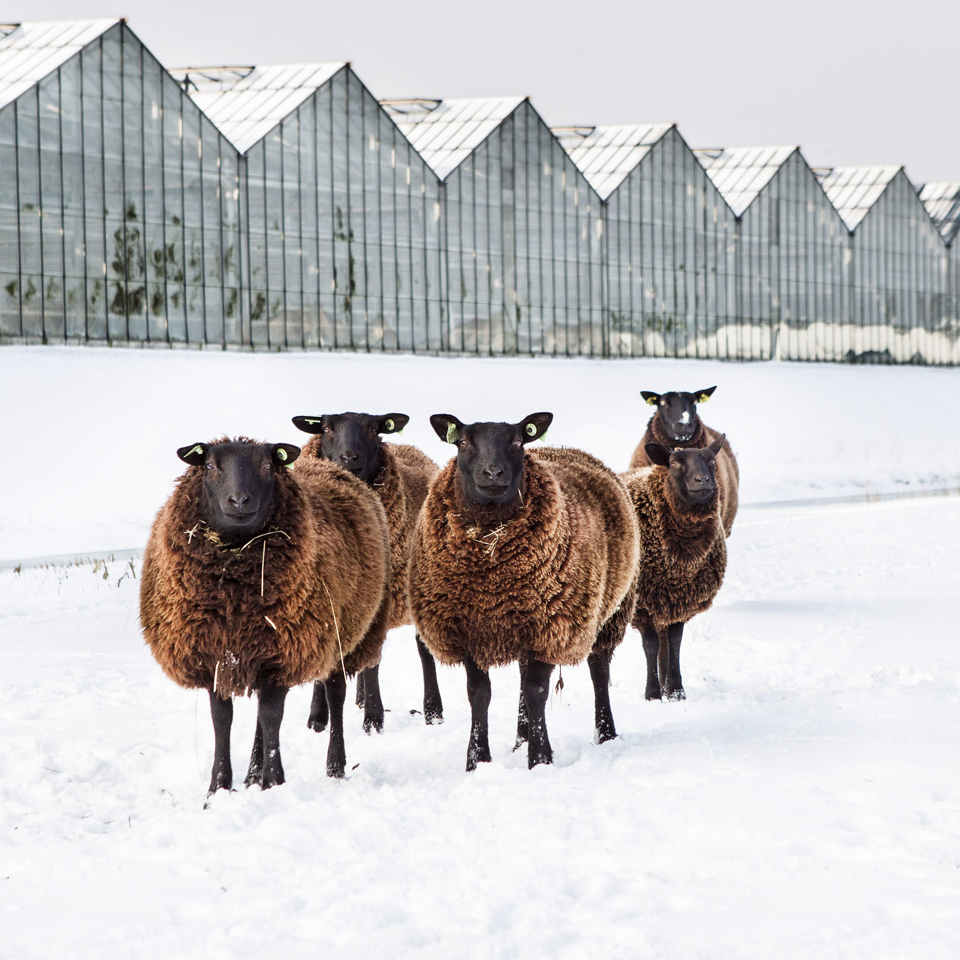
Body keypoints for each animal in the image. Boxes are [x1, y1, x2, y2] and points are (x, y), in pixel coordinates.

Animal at [138, 438, 390, 792]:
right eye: (210, 465)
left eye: (267, 466)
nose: (239, 500)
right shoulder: (219, 655)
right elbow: (223, 719)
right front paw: (219, 785)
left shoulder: (282, 652)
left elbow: (272, 716)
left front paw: (274, 781)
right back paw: (252, 774)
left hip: (344, 633)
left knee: (336, 695)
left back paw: (335, 766)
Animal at [290, 408, 444, 732]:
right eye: (325, 428)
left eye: (373, 429)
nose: (349, 457)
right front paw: (317, 718)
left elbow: (374, 664)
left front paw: (373, 719)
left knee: (422, 650)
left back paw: (432, 710)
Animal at [408, 414, 640, 772]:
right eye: (462, 442)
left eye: (518, 441)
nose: (492, 473)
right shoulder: (469, 629)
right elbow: (479, 694)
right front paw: (478, 759)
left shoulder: (551, 627)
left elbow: (536, 692)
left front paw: (540, 759)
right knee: (521, 675)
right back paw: (520, 737)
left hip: (609, 612)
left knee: (599, 670)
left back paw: (605, 732)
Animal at [624, 436, 728, 696]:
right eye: (673, 463)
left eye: (712, 460)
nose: (702, 480)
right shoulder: (642, 604)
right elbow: (650, 645)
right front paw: (652, 694)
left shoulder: (679, 599)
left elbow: (674, 642)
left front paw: (675, 691)